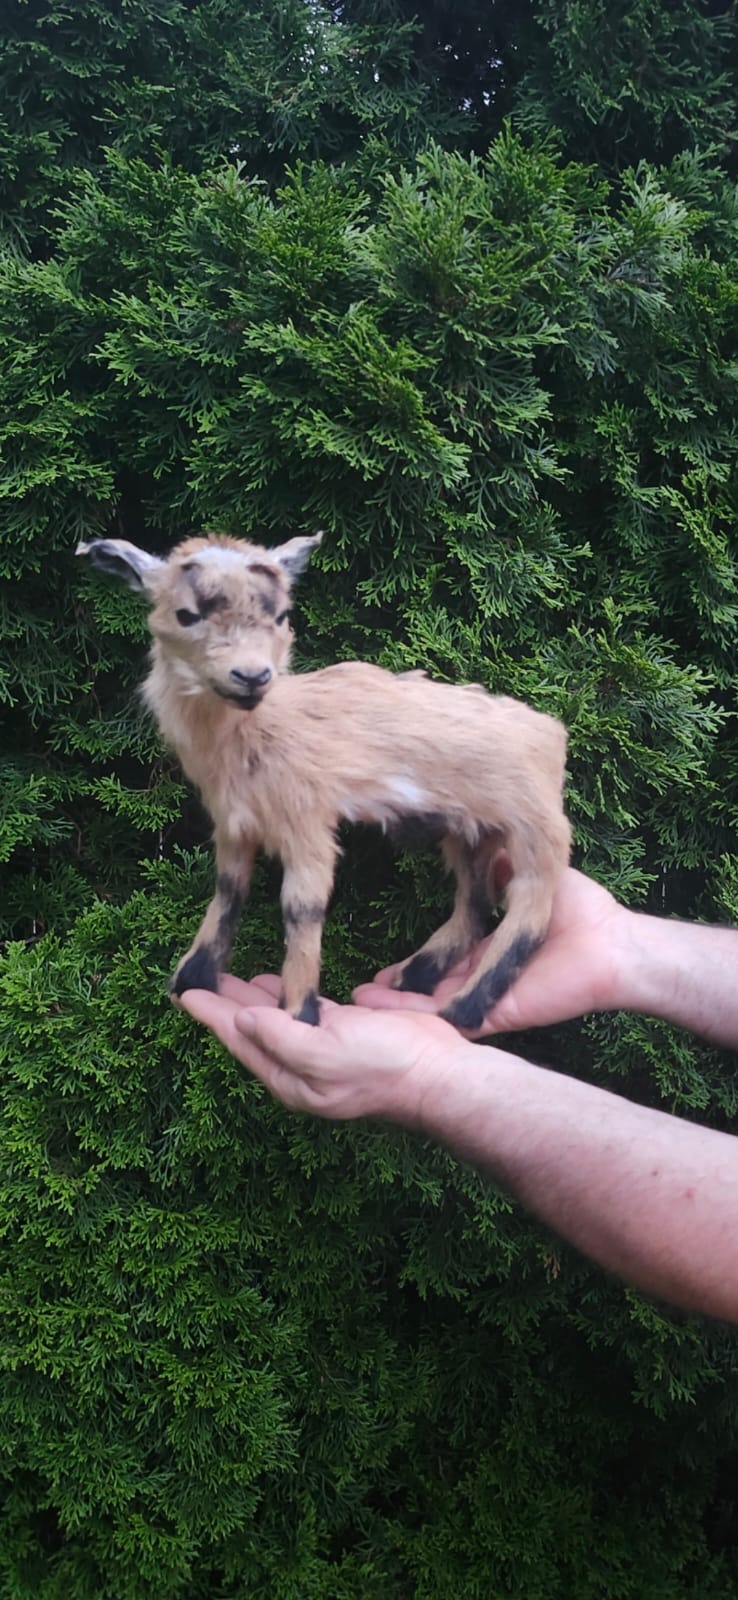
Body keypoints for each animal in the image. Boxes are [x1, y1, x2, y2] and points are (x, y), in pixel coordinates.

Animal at [76, 531, 572, 1029]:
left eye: (280, 615)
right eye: (187, 614)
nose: (253, 676)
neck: (254, 730)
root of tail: (551, 732)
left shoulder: (306, 820)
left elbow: (303, 907)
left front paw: (300, 1010)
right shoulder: (233, 823)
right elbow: (229, 889)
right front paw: (192, 977)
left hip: (536, 825)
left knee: (532, 907)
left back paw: (464, 1007)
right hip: (472, 829)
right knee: (476, 902)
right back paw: (417, 975)